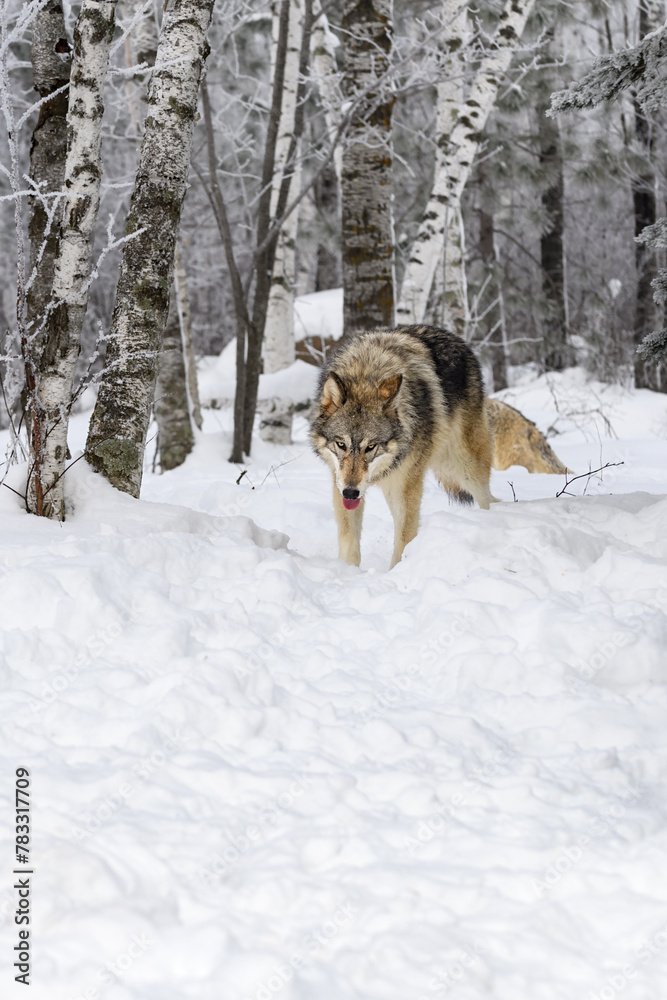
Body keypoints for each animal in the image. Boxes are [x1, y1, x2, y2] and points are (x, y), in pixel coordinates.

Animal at [310, 324, 496, 568]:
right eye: (341, 444)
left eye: (371, 447)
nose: (351, 492)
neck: (367, 371)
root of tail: (456, 339)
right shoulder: (339, 483)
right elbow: (349, 540)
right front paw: (347, 572)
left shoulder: (405, 489)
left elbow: (404, 540)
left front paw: (397, 572)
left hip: (463, 469)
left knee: (489, 498)